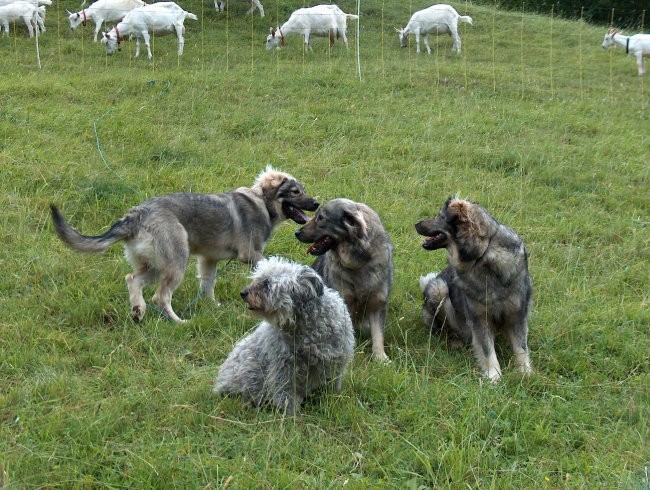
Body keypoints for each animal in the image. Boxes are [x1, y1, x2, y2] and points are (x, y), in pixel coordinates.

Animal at [49, 167, 318, 324]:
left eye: (303, 190)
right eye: (295, 192)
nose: (316, 203)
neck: (262, 201)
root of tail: (137, 214)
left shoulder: (208, 260)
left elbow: (208, 286)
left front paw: (213, 307)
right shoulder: (252, 254)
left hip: (156, 265)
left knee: (132, 279)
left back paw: (138, 310)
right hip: (177, 262)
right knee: (160, 296)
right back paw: (178, 321)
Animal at [213, 255, 354, 416]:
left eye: (266, 283)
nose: (243, 293)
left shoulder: (335, 361)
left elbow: (331, 384)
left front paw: (331, 399)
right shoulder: (283, 366)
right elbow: (285, 393)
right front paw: (292, 416)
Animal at [296, 197, 392, 362]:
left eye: (321, 218)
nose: (297, 232)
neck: (358, 263)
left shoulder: (377, 303)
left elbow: (378, 334)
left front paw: (380, 358)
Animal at [416, 197, 532, 380]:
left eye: (440, 216)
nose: (416, 224)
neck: (482, 255)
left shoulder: (517, 314)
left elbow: (521, 347)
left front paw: (526, 373)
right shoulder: (479, 318)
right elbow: (486, 349)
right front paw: (494, 376)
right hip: (439, 288)